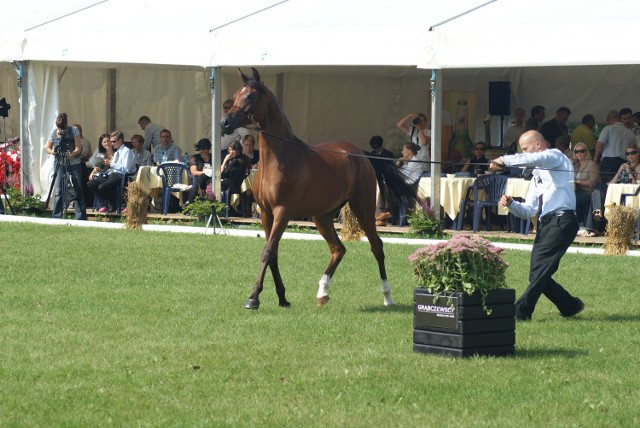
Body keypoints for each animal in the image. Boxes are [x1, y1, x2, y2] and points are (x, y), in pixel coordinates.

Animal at [222, 67, 418, 310]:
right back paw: (322, 292)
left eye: (249, 96)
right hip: (322, 216)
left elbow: (267, 252)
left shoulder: (282, 212)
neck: (280, 158)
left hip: (362, 209)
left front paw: (253, 298)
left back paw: (387, 296)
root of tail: (361, 155)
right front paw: (282, 298)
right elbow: (273, 253)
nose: (224, 122)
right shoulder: (266, 214)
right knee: (338, 249)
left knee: (377, 247)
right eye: (236, 94)